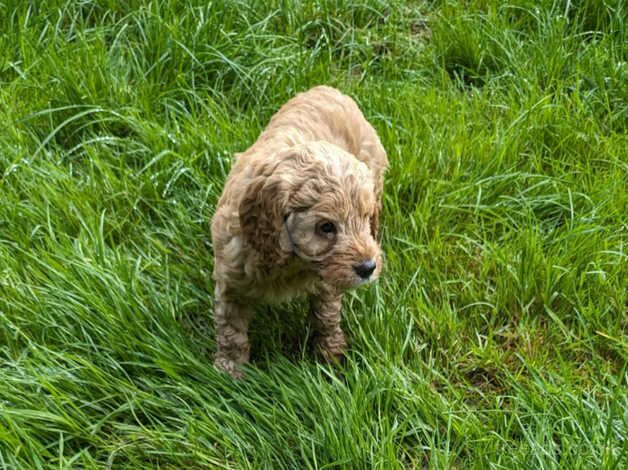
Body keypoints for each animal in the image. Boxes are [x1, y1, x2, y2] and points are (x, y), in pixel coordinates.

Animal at [212, 85, 388, 378]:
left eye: (366, 218)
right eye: (326, 227)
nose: (368, 267)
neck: (291, 262)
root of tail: (328, 88)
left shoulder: (327, 280)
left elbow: (326, 315)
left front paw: (331, 354)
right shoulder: (230, 277)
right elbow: (230, 330)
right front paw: (229, 370)